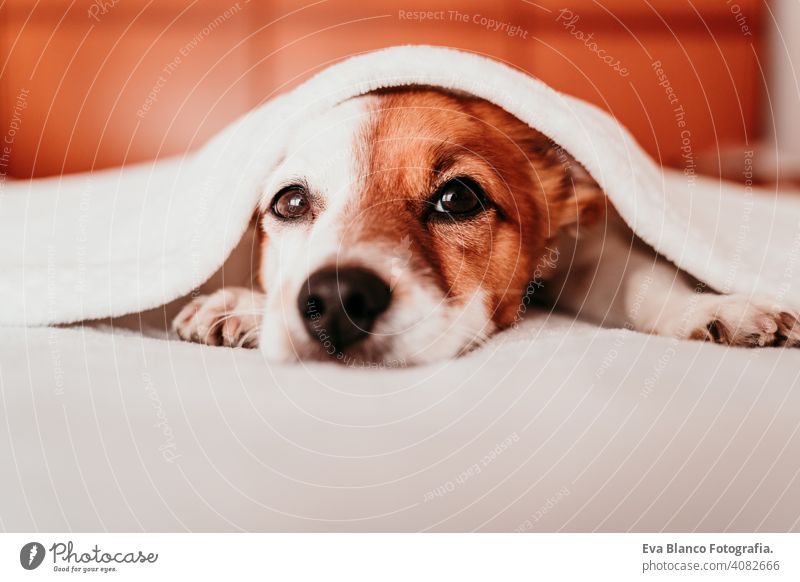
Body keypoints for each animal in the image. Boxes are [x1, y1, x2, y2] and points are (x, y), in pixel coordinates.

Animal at [172, 87, 796, 364]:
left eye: (458, 198)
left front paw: (716, 307)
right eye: (292, 202)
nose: (336, 300)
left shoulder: (589, 251)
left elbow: (644, 280)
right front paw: (239, 306)